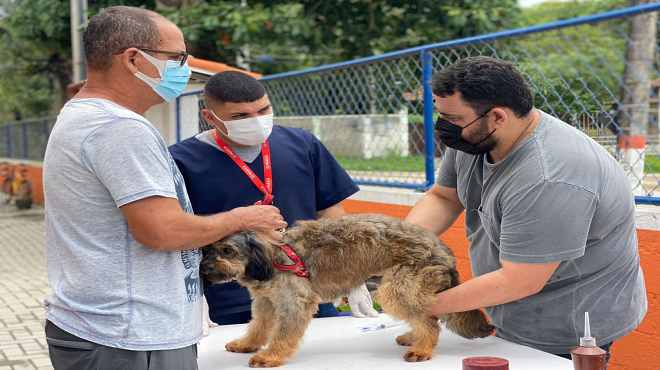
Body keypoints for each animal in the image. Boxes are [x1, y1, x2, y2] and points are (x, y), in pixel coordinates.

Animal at [204, 214, 492, 368]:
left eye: (227, 250)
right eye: (206, 249)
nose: (204, 269)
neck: (271, 257)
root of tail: (443, 249)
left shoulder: (294, 303)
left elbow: (282, 335)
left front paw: (270, 356)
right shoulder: (265, 303)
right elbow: (258, 327)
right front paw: (246, 344)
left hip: (395, 288)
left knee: (429, 321)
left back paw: (422, 348)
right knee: (426, 315)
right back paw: (414, 337)